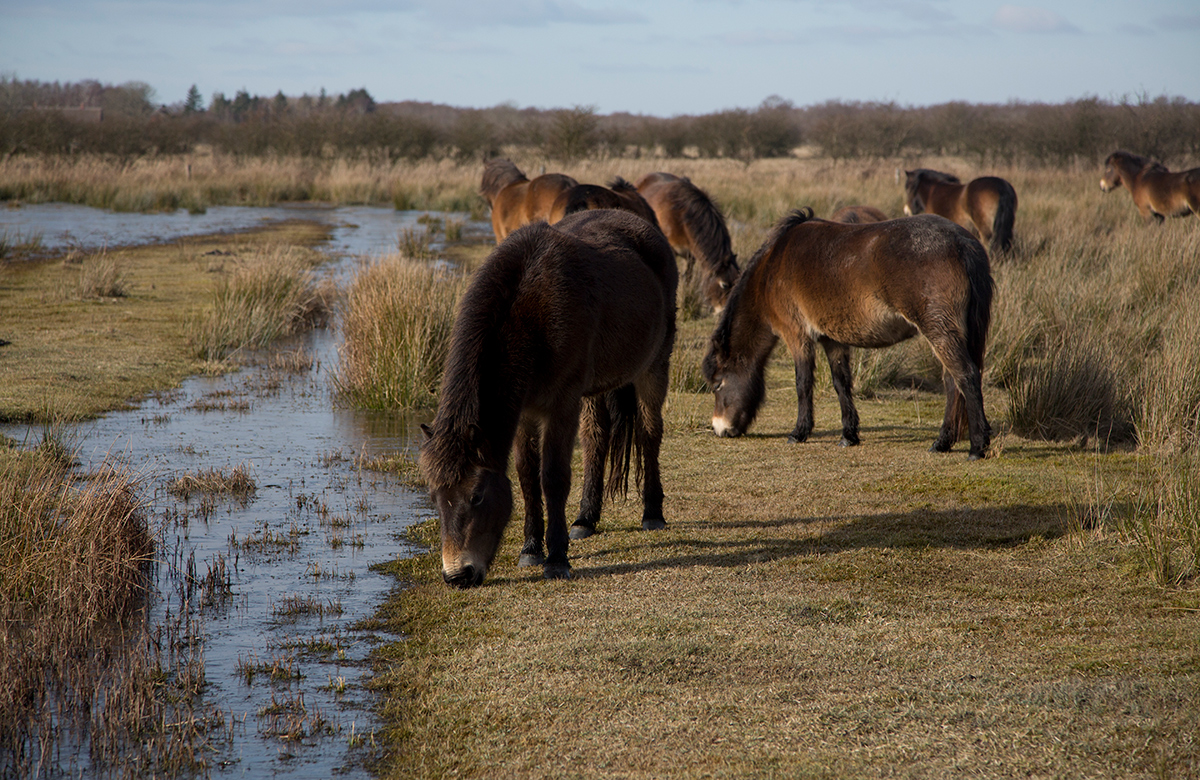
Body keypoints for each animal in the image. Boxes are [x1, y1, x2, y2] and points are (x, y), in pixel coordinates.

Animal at [417, 206, 676, 583]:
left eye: (476, 496)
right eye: (435, 497)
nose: (457, 575)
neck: (532, 311)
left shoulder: (561, 405)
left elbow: (552, 477)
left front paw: (556, 558)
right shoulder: (524, 412)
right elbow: (527, 475)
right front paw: (531, 549)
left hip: (653, 368)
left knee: (649, 433)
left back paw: (652, 512)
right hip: (595, 390)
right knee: (596, 439)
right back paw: (585, 518)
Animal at [700, 210, 993, 458]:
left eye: (717, 384)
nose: (720, 429)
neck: (772, 269)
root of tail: (963, 243)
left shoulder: (797, 336)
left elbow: (803, 383)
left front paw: (799, 432)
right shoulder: (833, 341)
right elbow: (841, 383)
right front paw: (849, 435)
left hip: (939, 331)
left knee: (965, 377)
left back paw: (976, 447)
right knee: (952, 383)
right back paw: (943, 442)